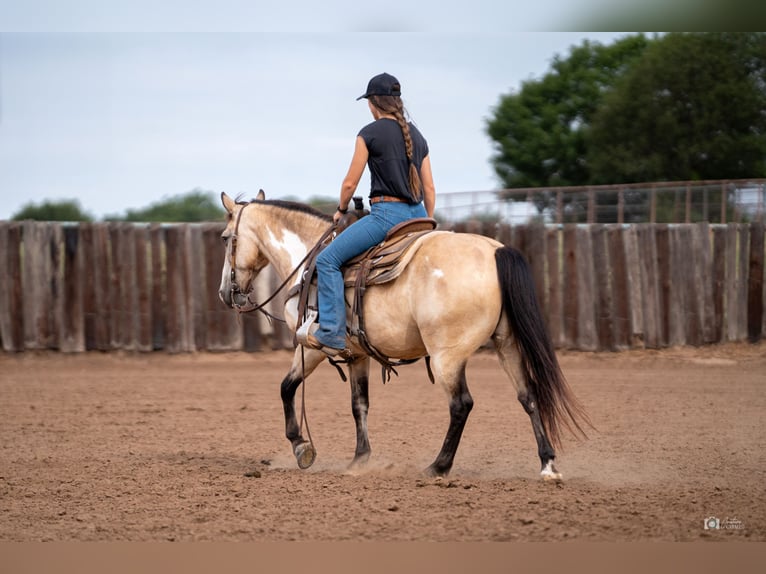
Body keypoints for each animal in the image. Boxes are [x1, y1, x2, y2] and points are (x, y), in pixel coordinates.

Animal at [219, 191, 592, 480]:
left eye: (225, 238)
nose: (225, 293)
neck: (308, 262)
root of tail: (494, 251)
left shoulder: (311, 346)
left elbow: (286, 387)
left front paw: (301, 446)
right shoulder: (358, 354)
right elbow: (359, 404)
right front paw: (360, 459)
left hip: (447, 356)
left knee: (461, 404)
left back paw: (438, 467)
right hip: (507, 344)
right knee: (527, 395)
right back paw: (547, 464)